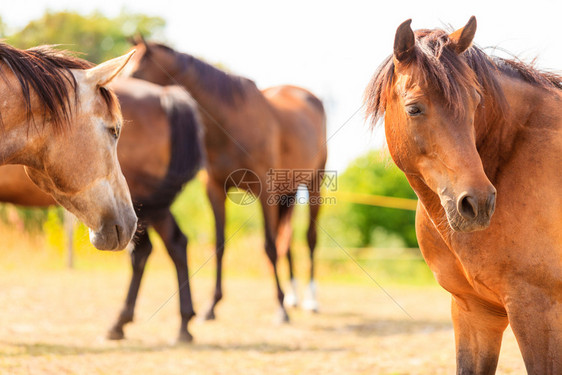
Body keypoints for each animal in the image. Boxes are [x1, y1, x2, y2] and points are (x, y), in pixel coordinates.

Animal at [124, 40, 326, 324]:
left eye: (135, 73)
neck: (231, 123)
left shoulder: (265, 192)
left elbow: (269, 246)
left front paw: (280, 309)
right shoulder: (215, 191)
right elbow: (220, 246)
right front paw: (212, 306)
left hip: (314, 185)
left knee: (309, 239)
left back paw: (310, 300)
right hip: (286, 194)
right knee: (286, 241)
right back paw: (293, 297)